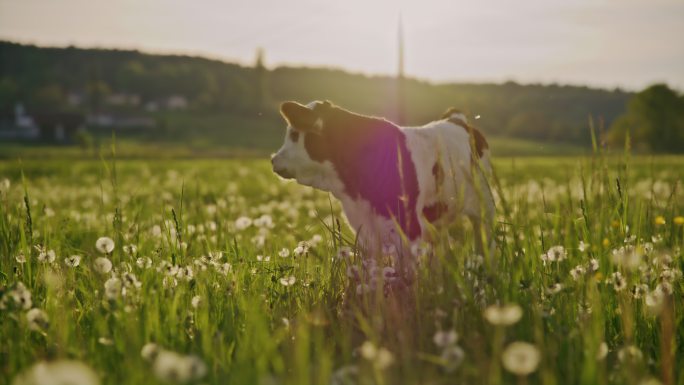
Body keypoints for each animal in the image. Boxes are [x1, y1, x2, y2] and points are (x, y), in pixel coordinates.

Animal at [270, 100, 494, 260]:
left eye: (294, 134)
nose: (273, 159)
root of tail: (457, 119)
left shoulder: (407, 230)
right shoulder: (366, 230)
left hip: (484, 205)